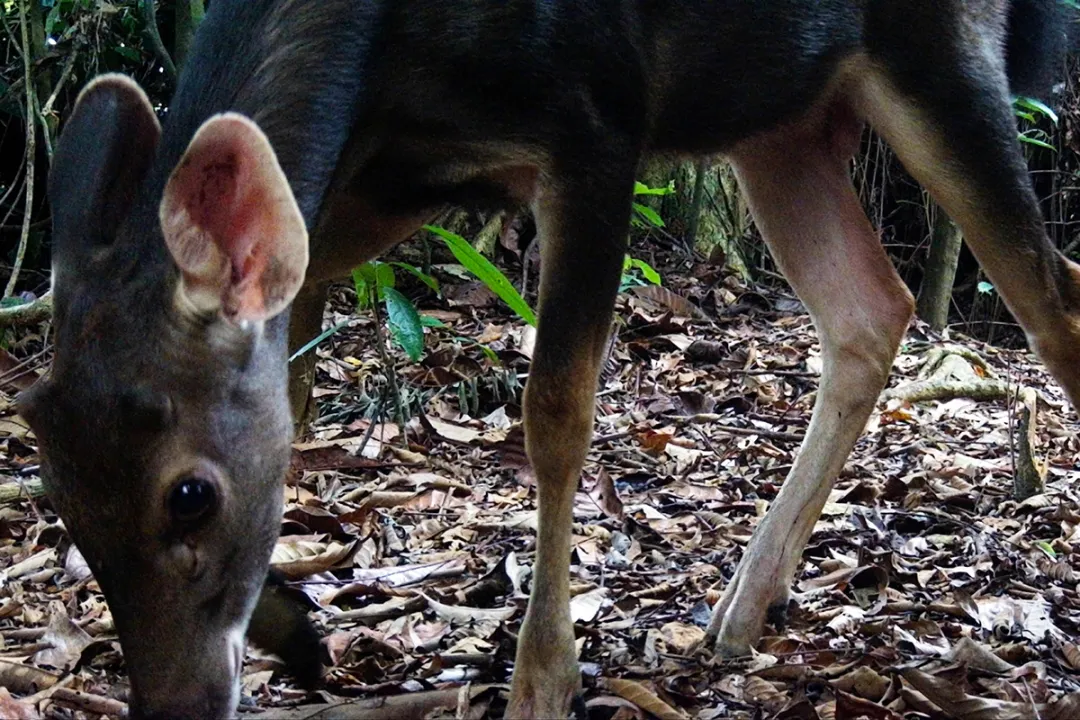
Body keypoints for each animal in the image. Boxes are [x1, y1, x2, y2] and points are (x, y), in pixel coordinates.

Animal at [17, 0, 1079, 717]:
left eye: (189, 494)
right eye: (57, 492)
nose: (176, 708)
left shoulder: (597, 120)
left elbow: (556, 409)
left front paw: (542, 678)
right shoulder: (386, 174)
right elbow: (295, 389)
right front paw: (299, 632)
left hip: (935, 54)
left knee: (1052, 294)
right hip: (781, 117)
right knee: (870, 307)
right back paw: (743, 606)